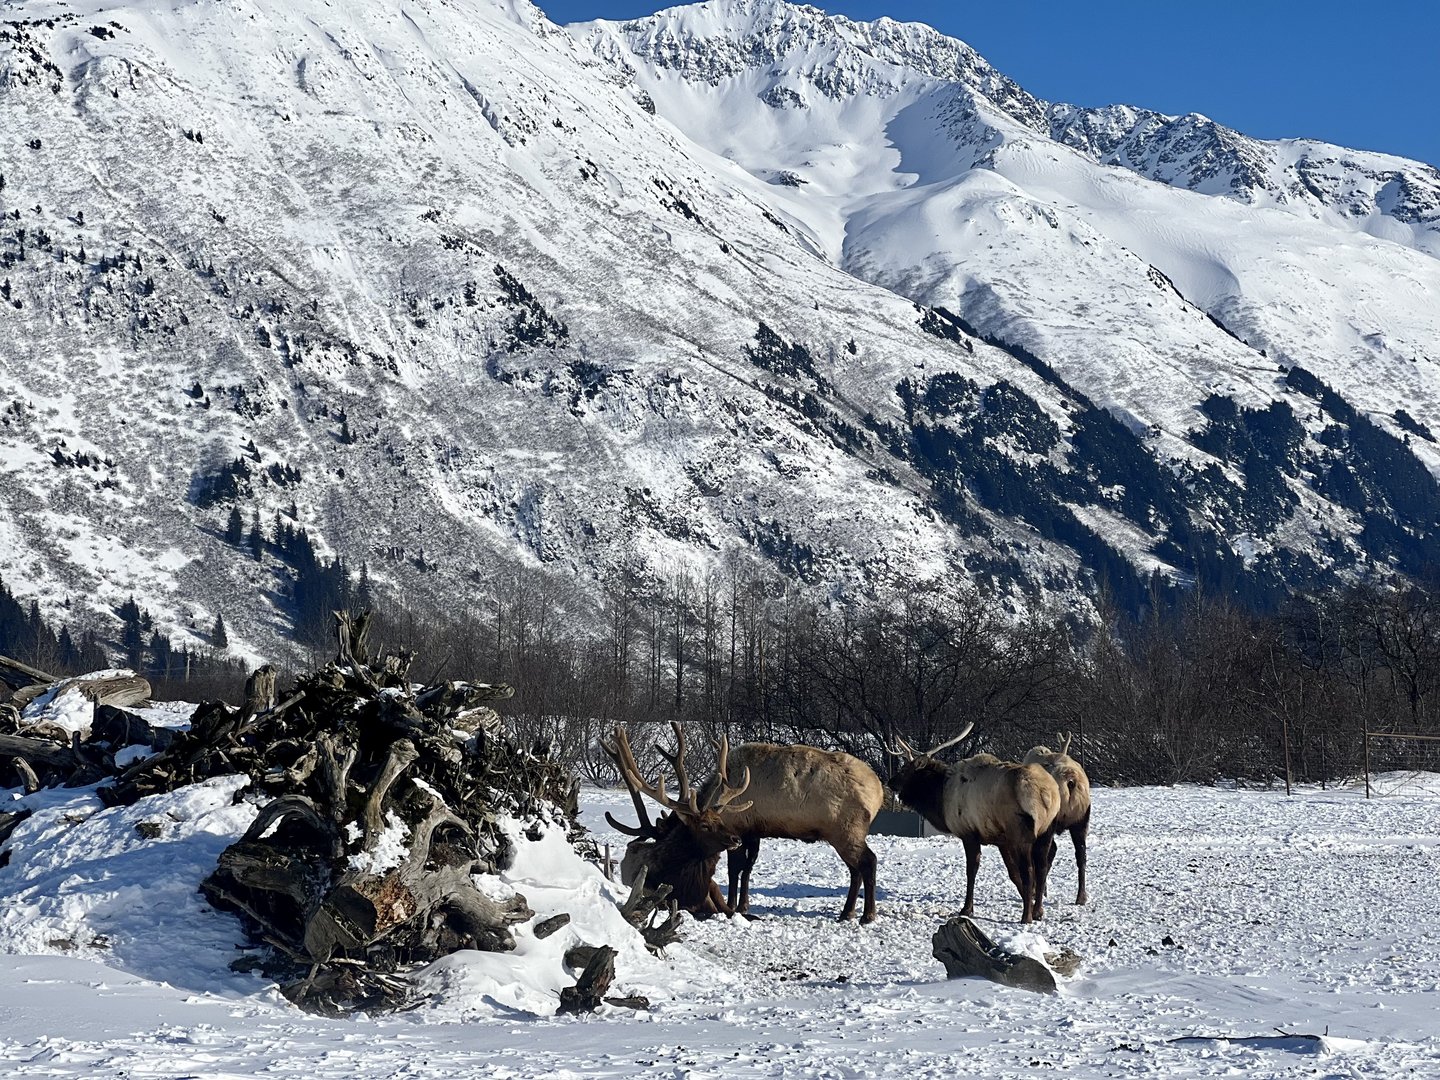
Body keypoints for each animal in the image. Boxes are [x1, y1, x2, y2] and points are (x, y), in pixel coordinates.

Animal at [697, 742, 885, 924]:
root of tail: (878, 793)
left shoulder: (737, 830)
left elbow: (734, 870)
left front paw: (731, 906)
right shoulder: (752, 833)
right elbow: (747, 869)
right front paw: (743, 906)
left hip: (846, 831)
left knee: (869, 861)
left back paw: (867, 915)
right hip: (845, 834)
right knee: (856, 870)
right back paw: (847, 912)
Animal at [888, 723, 1061, 924]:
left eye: (905, 769)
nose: (890, 782)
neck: (940, 797)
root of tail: (1047, 794)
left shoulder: (969, 833)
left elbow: (972, 871)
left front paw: (966, 909)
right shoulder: (1001, 840)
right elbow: (1012, 873)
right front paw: (1030, 901)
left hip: (1021, 834)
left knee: (1030, 870)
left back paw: (1026, 917)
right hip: (1046, 831)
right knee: (1041, 867)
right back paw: (1038, 911)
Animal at [1023, 733, 1092, 906]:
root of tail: (1071, 781)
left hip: (1053, 820)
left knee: (1045, 855)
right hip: (1081, 819)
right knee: (1081, 854)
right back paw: (1081, 897)